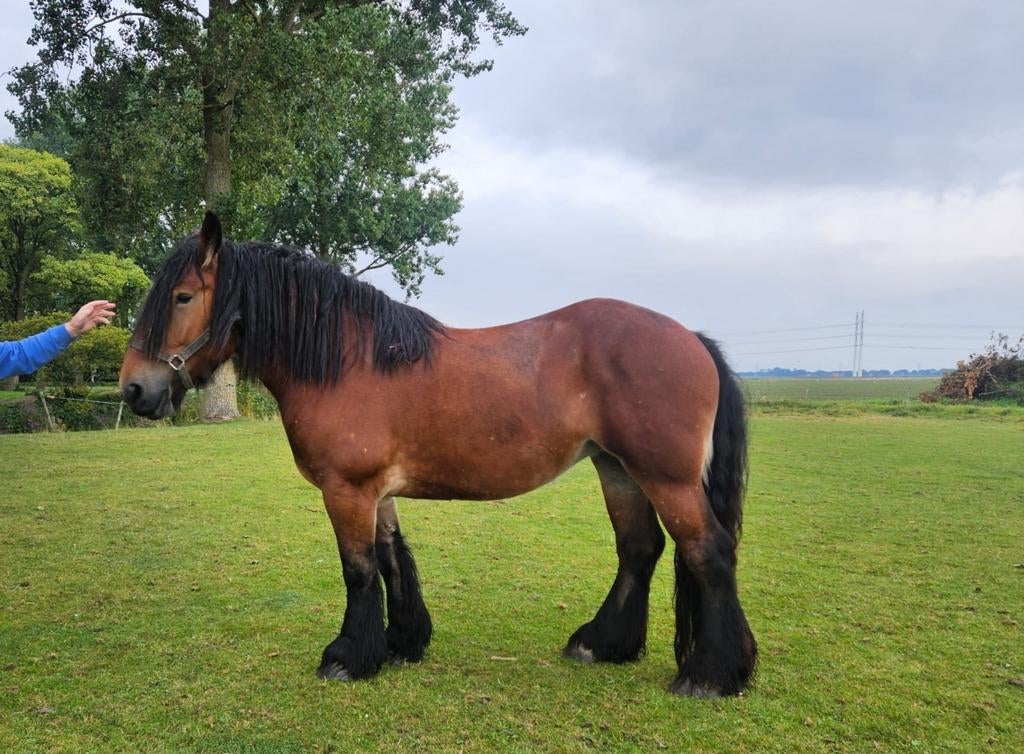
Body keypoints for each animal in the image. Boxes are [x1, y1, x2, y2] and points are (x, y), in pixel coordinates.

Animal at [119, 212, 757, 697]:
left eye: (181, 297)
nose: (134, 390)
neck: (348, 359)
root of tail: (691, 338)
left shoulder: (347, 489)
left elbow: (358, 570)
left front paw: (346, 657)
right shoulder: (375, 492)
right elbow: (391, 559)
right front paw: (400, 644)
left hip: (666, 477)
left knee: (708, 551)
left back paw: (708, 675)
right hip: (617, 468)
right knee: (639, 549)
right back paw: (601, 644)